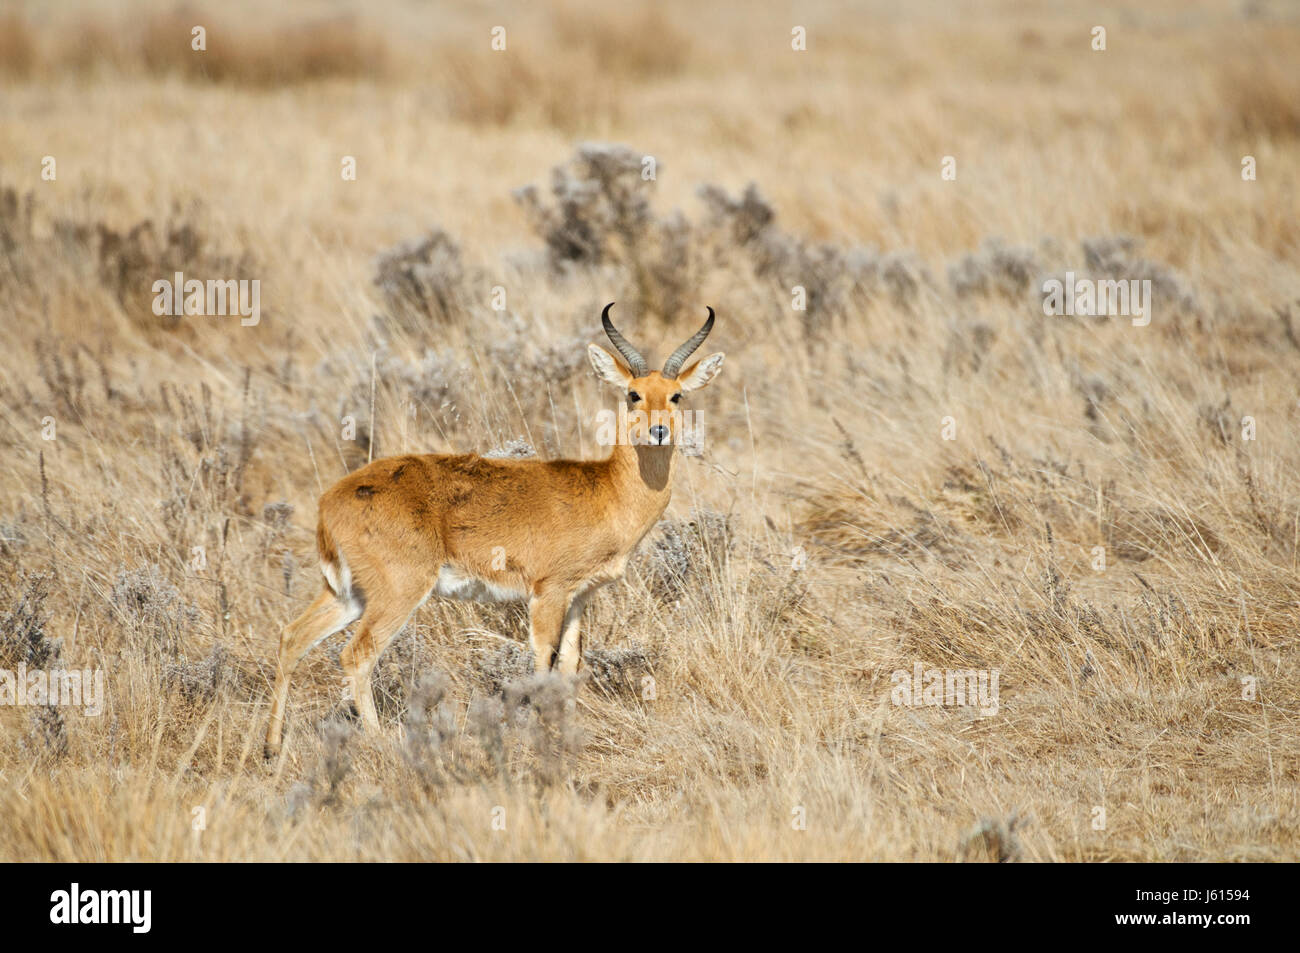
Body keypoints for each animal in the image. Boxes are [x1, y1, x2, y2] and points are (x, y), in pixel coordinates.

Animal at [262, 304, 722, 759]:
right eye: (633, 393)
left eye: (676, 395)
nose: (658, 431)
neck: (605, 491)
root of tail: (330, 500)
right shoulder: (547, 592)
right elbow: (543, 661)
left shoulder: (579, 597)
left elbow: (570, 664)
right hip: (399, 592)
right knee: (356, 654)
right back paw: (382, 745)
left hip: (348, 594)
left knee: (292, 637)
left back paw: (271, 747)